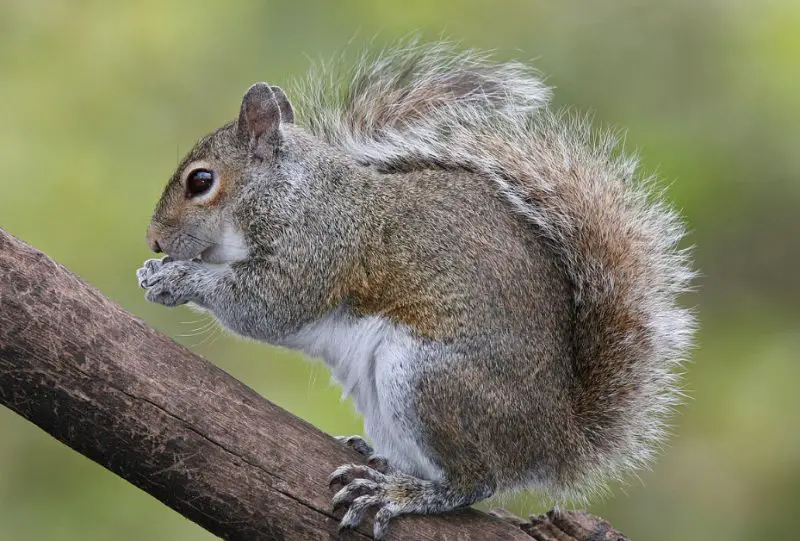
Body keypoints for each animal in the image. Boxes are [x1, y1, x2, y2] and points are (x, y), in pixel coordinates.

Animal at [137, 42, 695, 539]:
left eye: (200, 181)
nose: (154, 239)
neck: (288, 191)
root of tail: (558, 440)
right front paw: (154, 271)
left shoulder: (317, 247)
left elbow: (267, 305)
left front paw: (175, 278)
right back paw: (377, 457)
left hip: (427, 381)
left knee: (475, 481)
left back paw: (400, 492)